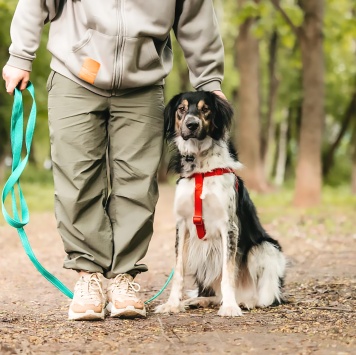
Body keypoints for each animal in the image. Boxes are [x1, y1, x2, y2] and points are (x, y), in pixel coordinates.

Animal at [156, 91, 286, 318]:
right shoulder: (181, 224)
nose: (191, 124)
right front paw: (172, 304)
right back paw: (200, 300)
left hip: (265, 248)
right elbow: (178, 270)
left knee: (267, 297)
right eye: (181, 109)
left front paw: (230, 307)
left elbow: (228, 270)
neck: (201, 168)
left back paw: (245, 302)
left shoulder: (229, 226)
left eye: (205, 109)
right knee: (214, 293)